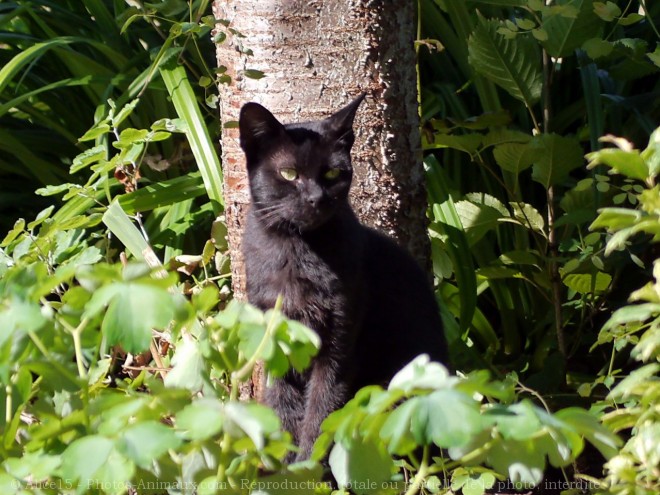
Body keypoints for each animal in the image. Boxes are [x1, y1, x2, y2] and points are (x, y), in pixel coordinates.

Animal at [238, 94, 448, 462]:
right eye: (289, 173)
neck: (299, 253)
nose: (316, 198)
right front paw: (281, 465)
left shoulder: (340, 343)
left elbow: (321, 414)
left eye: (333, 172)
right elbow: (282, 407)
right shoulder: (275, 340)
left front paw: (307, 466)